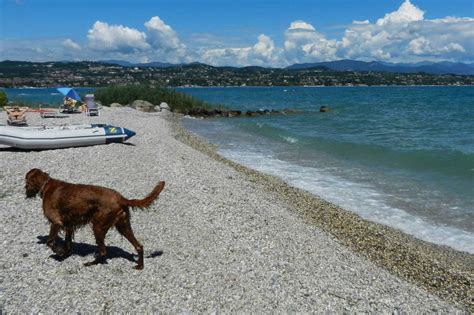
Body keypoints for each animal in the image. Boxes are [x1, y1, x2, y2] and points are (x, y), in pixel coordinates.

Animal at [26, 169, 167, 270]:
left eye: (26, 182)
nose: (25, 193)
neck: (46, 185)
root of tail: (121, 198)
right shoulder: (68, 225)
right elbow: (67, 243)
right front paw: (64, 253)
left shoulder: (56, 222)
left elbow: (50, 242)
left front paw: (59, 252)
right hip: (123, 226)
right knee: (139, 246)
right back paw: (140, 265)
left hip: (98, 226)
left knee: (104, 251)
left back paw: (90, 263)